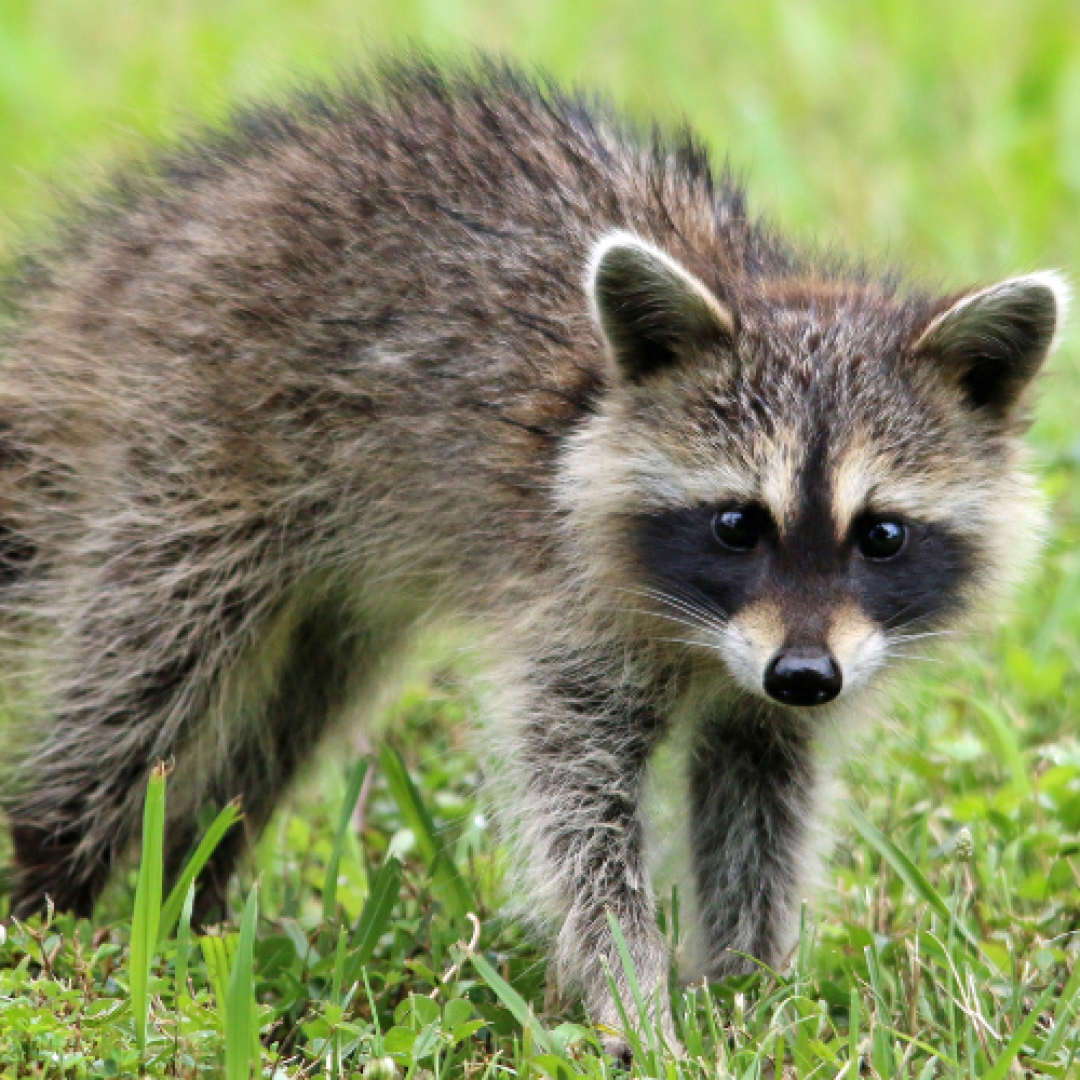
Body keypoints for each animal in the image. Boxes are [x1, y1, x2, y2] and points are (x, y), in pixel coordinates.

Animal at [0, 59, 1062, 1054]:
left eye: (881, 535)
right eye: (736, 524)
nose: (804, 676)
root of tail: (139, 253)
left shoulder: (792, 676)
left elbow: (761, 800)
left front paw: (749, 990)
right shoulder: (568, 603)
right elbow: (575, 803)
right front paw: (634, 995)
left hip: (332, 565)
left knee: (289, 710)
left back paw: (196, 878)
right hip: (198, 437)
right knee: (145, 670)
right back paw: (54, 876)